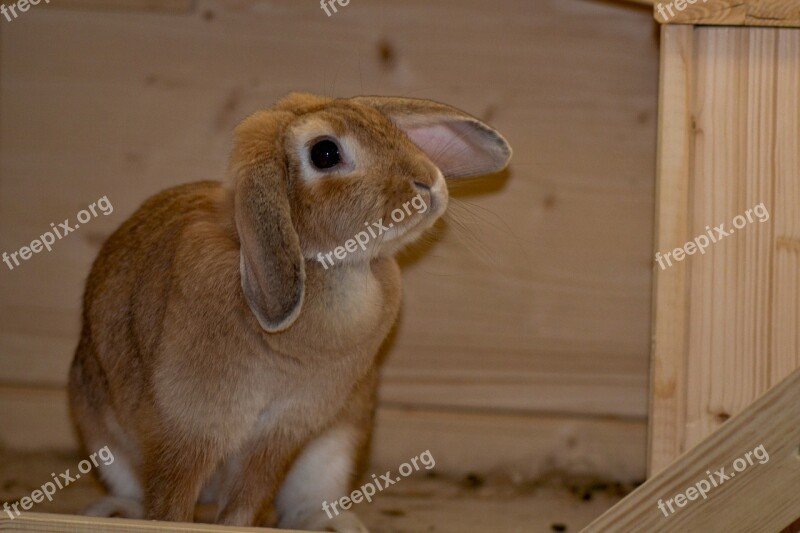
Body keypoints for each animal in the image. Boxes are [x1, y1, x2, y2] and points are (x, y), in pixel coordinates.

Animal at [65, 91, 510, 528]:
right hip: (101, 435)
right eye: (325, 153)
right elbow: (170, 501)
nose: (428, 182)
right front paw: (167, 521)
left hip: (332, 449)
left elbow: (246, 500)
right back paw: (113, 511)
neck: (325, 267)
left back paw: (331, 523)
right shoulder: (187, 425)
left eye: (386, 126)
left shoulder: (285, 430)